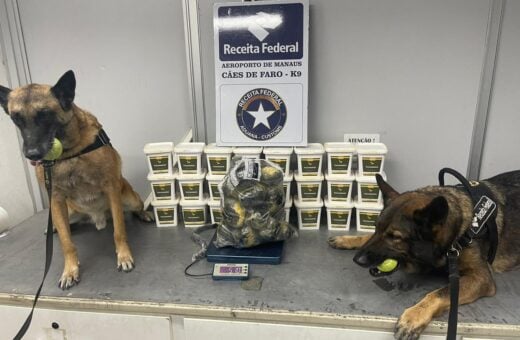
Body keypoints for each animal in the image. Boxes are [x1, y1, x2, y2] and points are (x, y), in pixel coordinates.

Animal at [0, 71, 153, 290]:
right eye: (16, 118)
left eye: (45, 114)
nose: (32, 154)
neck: (69, 154)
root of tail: (98, 218)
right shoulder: (55, 199)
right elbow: (67, 243)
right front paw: (70, 270)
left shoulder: (111, 188)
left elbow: (119, 230)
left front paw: (124, 256)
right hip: (66, 211)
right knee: (65, 225)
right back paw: (55, 228)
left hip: (130, 199)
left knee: (133, 210)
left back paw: (144, 214)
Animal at [330, 173, 520, 340]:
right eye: (376, 228)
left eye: (395, 237)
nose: (357, 260)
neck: (459, 232)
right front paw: (348, 239)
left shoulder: (480, 278)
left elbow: (439, 293)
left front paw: (413, 316)